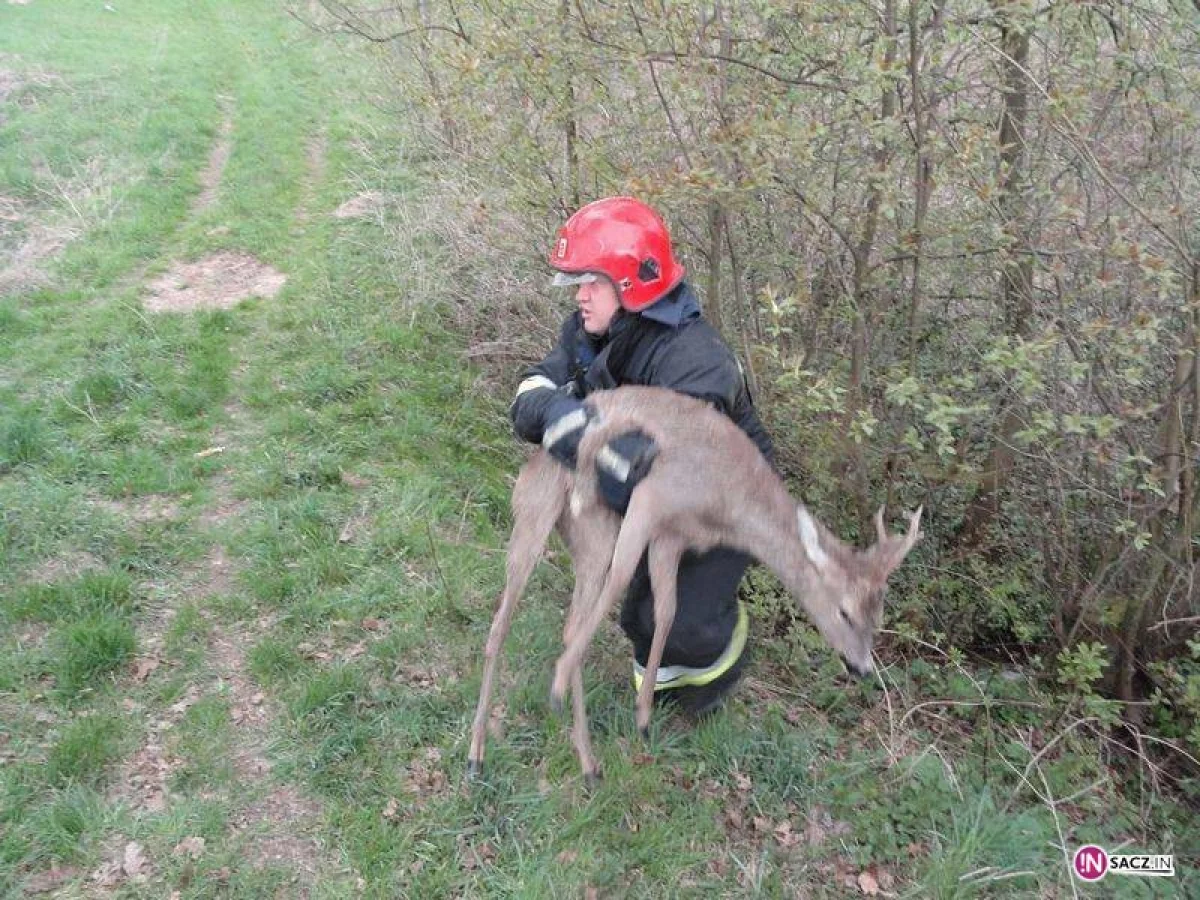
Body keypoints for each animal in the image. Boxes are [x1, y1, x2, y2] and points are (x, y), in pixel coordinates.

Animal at [465, 386, 916, 782]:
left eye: (878, 615)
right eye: (845, 611)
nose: (862, 667)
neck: (724, 504)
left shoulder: (673, 536)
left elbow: (666, 612)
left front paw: (644, 715)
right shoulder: (652, 495)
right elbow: (623, 583)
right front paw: (562, 685)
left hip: (592, 534)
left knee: (571, 622)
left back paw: (588, 764)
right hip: (535, 509)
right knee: (502, 624)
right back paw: (477, 754)